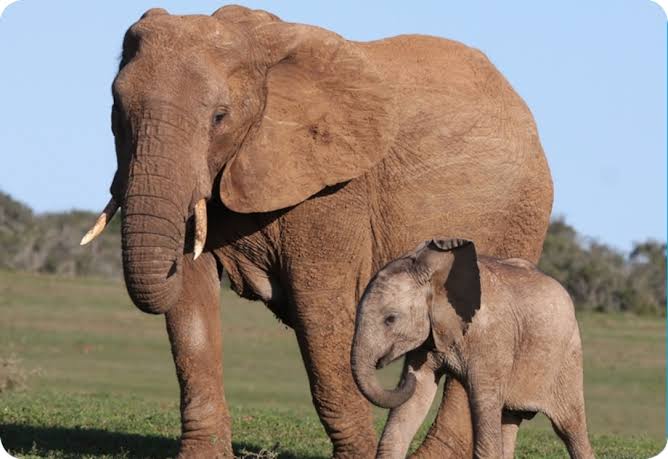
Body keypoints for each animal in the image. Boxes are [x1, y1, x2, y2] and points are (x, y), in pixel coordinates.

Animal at [81, 5, 553, 458]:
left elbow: (320, 314)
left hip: (520, 216)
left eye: (219, 117)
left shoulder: (334, 190)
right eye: (115, 111)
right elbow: (190, 306)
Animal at [351, 238, 594, 459]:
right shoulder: (431, 335)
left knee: (570, 427)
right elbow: (416, 395)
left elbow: (483, 403)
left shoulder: (490, 337)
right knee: (509, 420)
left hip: (568, 357)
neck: (435, 274)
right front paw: (415, 379)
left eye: (390, 319)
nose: (403, 377)